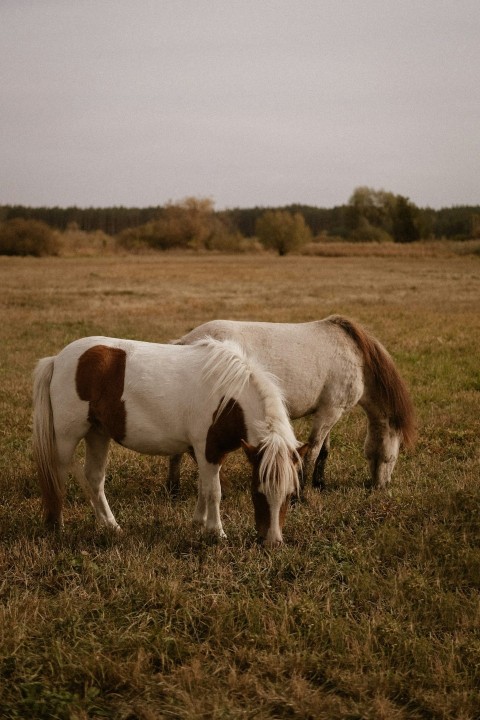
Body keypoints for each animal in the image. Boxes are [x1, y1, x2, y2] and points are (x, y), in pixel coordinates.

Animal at [32, 336, 308, 546]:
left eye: (290, 494)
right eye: (257, 491)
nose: (272, 542)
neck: (228, 396)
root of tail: (57, 360)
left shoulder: (206, 452)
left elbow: (203, 487)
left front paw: (198, 523)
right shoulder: (207, 450)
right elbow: (214, 492)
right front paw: (216, 532)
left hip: (97, 433)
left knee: (95, 478)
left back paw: (110, 525)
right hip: (68, 437)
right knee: (57, 475)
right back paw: (56, 525)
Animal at [169, 315, 416, 494]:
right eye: (393, 456)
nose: (380, 487)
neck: (357, 356)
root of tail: (185, 342)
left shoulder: (327, 411)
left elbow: (324, 450)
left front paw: (319, 484)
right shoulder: (331, 411)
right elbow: (313, 449)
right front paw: (302, 491)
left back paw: (174, 489)